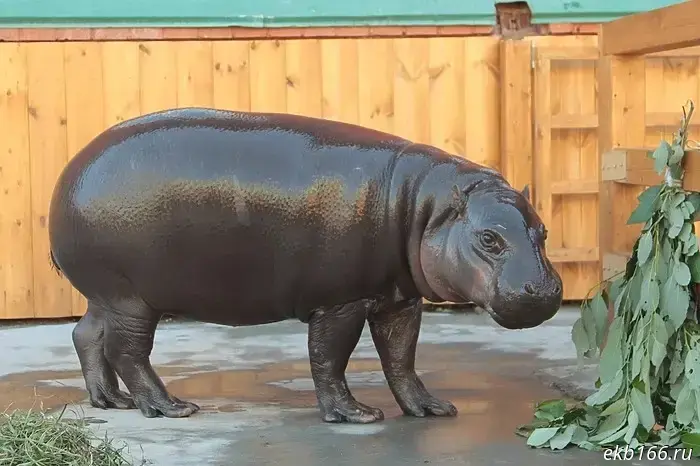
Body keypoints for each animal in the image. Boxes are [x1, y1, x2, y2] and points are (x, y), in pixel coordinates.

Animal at [48, 108, 563, 424]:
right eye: (489, 238)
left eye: (543, 230)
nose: (542, 290)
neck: (422, 206)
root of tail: (68, 175)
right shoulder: (341, 301)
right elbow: (329, 358)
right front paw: (357, 416)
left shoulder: (398, 299)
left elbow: (402, 359)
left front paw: (433, 408)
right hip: (131, 298)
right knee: (128, 351)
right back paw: (172, 407)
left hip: (105, 294)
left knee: (86, 334)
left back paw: (112, 402)